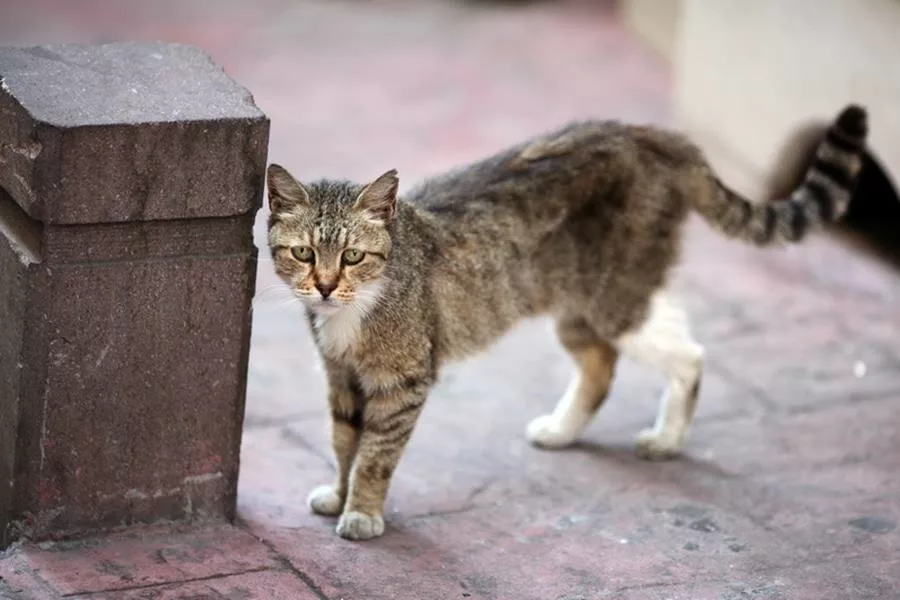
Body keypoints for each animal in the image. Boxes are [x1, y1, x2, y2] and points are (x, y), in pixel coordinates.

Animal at [266, 103, 864, 540]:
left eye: (352, 257)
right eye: (302, 253)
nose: (324, 286)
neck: (353, 310)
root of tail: (651, 135)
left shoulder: (404, 381)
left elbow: (374, 455)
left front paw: (362, 512)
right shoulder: (341, 376)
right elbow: (344, 441)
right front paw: (338, 494)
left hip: (615, 297)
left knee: (688, 354)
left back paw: (667, 438)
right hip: (587, 304)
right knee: (605, 363)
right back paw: (563, 430)